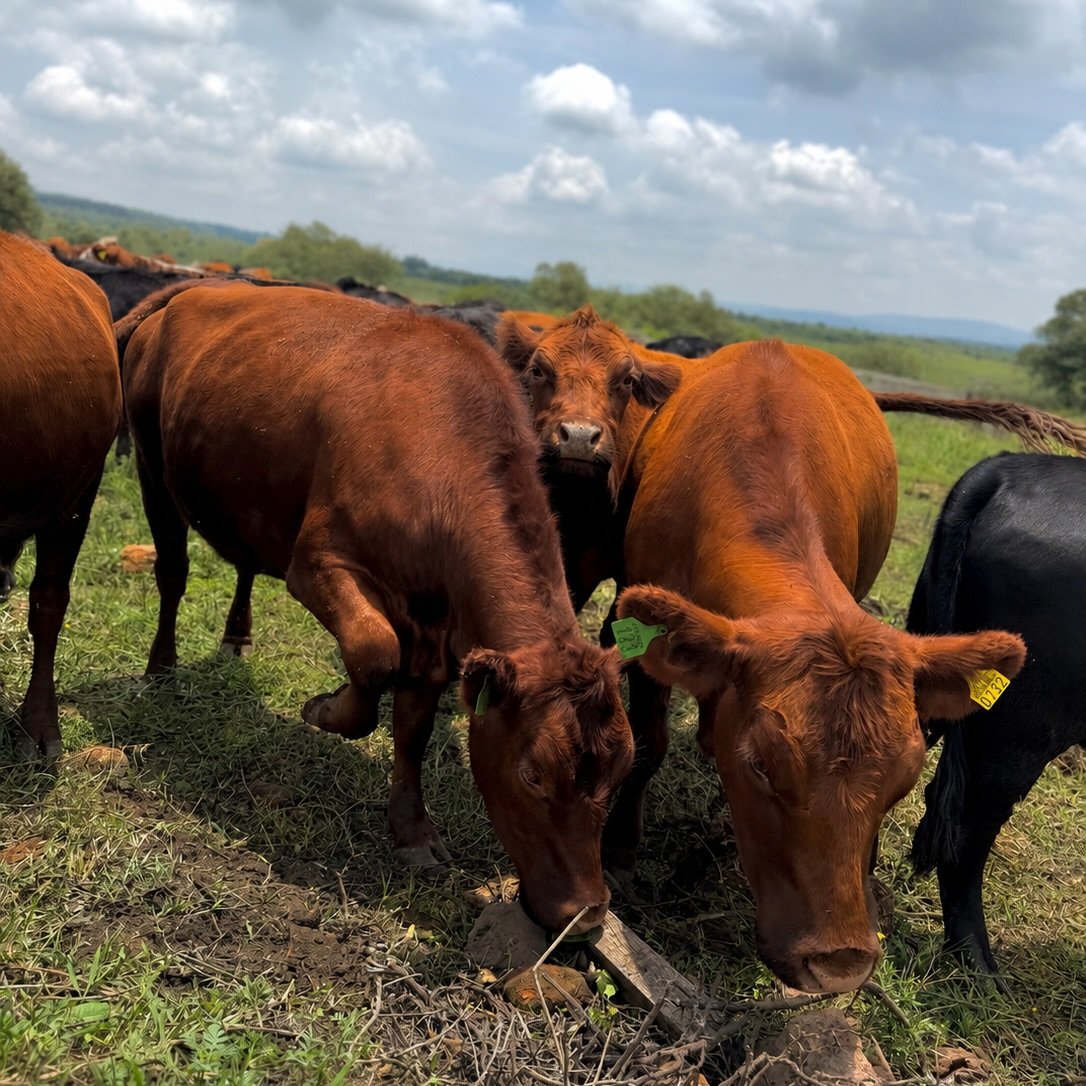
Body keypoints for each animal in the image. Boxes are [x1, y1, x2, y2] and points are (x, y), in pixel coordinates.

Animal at [117, 281, 634, 936]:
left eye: (617, 776)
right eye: (533, 774)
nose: (586, 916)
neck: (441, 455)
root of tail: (189, 290)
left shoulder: (436, 624)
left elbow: (413, 725)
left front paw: (411, 830)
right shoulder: (318, 563)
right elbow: (373, 653)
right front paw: (325, 710)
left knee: (242, 566)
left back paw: (236, 639)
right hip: (151, 468)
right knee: (173, 572)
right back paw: (160, 668)